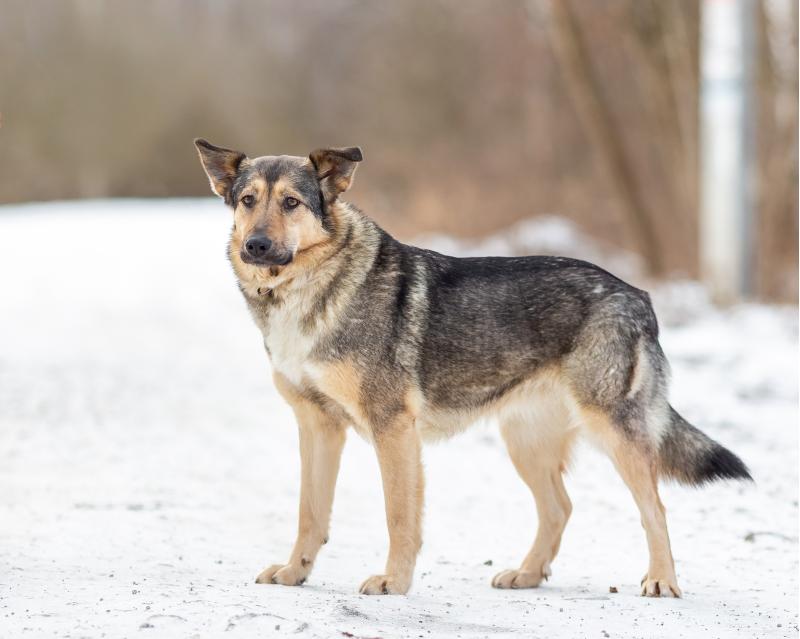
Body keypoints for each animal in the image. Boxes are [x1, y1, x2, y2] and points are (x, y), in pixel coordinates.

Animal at [194, 138, 751, 597]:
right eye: (248, 201)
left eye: (291, 202)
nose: (255, 246)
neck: (307, 288)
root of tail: (638, 296)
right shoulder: (317, 427)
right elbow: (309, 512)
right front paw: (295, 573)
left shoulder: (392, 430)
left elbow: (399, 516)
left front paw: (394, 583)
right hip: (525, 442)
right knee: (560, 508)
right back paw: (527, 574)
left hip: (613, 431)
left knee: (654, 508)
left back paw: (661, 580)